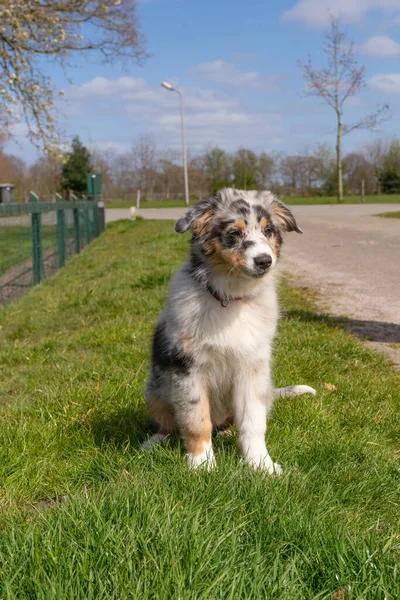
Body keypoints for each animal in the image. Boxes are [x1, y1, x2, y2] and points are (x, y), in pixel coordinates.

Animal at [144, 188, 316, 474]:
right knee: (168, 424)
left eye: (268, 231)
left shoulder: (252, 369)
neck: (231, 297)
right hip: (155, 390)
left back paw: (225, 433)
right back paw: (154, 442)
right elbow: (196, 420)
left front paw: (262, 465)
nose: (264, 261)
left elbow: (253, 422)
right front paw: (202, 464)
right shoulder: (188, 368)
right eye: (234, 234)